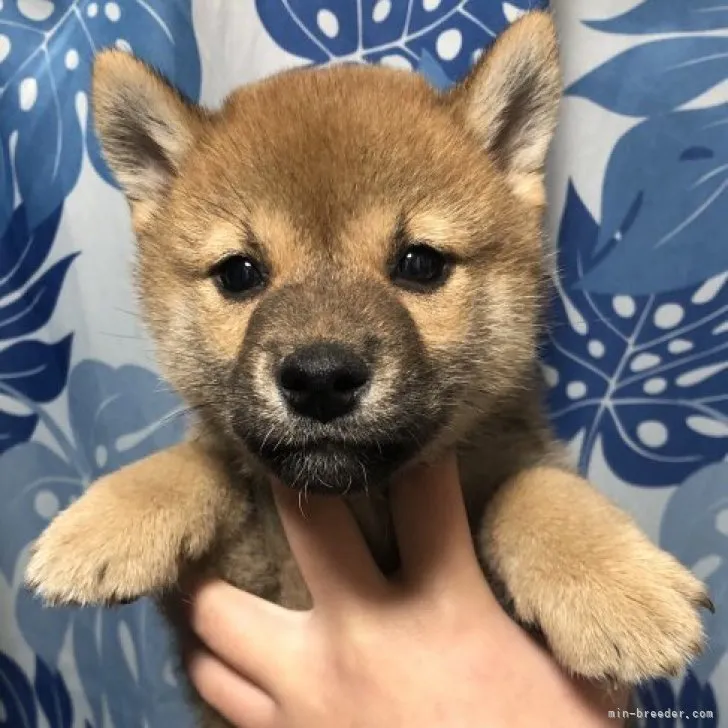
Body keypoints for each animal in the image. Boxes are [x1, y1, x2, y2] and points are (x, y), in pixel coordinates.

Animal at [24, 12, 712, 728]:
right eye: (239, 273)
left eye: (420, 263)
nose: (320, 377)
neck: (364, 505)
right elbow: (206, 458)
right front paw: (107, 521)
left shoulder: (518, 455)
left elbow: (536, 489)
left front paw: (615, 587)